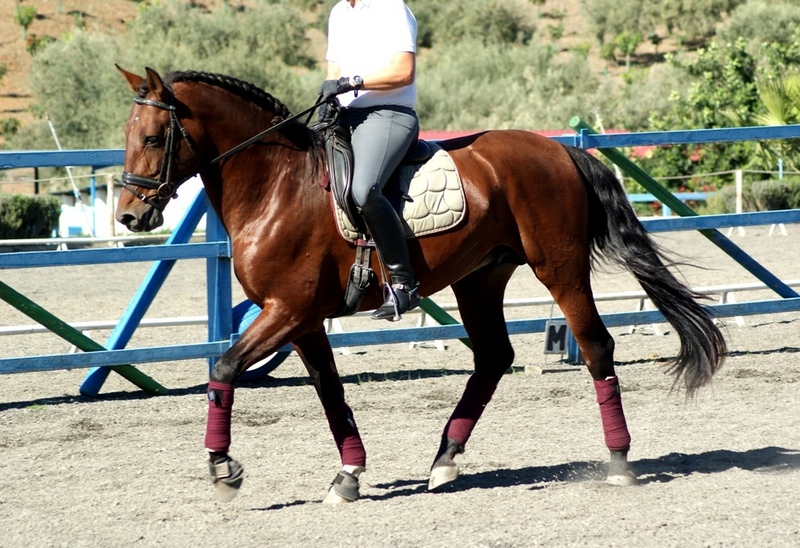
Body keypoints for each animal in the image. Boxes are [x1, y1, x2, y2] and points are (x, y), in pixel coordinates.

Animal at [115, 66, 726, 503]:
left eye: (153, 138)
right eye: (127, 135)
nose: (128, 216)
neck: (277, 186)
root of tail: (561, 149)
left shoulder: (286, 310)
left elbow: (223, 369)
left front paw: (222, 469)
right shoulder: (301, 317)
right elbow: (330, 391)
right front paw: (349, 474)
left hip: (560, 268)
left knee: (596, 346)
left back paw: (619, 463)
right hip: (481, 278)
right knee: (493, 357)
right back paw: (446, 459)